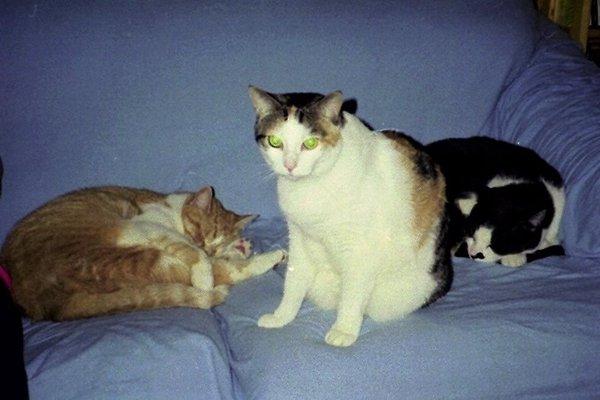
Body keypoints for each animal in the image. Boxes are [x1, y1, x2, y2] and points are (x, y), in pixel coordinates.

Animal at [0, 186, 286, 320]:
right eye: (198, 232)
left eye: (216, 242)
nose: (208, 248)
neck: (172, 210)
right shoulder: (144, 225)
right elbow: (194, 254)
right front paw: (206, 267)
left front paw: (235, 246)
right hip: (127, 252)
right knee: (221, 273)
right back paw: (270, 257)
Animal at [247, 86, 450, 346]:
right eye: (275, 142)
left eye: (310, 143)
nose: (289, 166)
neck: (310, 187)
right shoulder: (299, 238)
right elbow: (293, 282)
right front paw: (282, 316)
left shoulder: (360, 250)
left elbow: (352, 293)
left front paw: (343, 330)